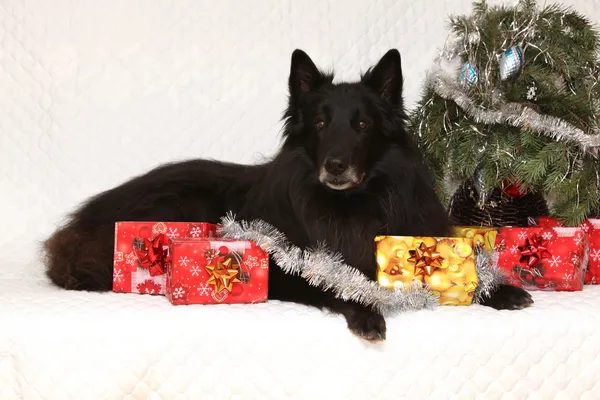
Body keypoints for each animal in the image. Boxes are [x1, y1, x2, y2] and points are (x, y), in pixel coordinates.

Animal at [43, 50, 528, 340]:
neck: (349, 205)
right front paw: (367, 311)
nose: (335, 165)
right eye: (319, 123)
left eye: (363, 124)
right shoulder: (292, 268)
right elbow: (343, 283)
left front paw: (501, 290)